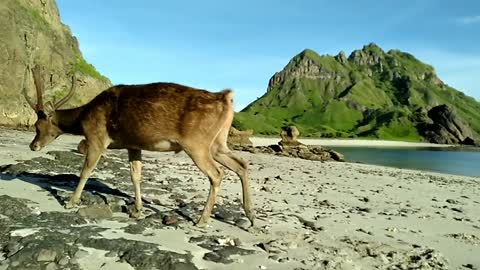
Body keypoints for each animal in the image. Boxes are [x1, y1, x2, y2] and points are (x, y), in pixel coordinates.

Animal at [23, 64, 255, 227]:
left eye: (38, 125)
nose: (33, 146)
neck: (83, 119)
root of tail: (226, 98)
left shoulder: (97, 137)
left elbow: (86, 170)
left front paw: (71, 202)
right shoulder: (133, 144)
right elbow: (136, 175)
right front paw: (137, 210)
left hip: (197, 143)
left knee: (217, 173)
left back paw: (202, 220)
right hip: (218, 143)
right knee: (241, 164)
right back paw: (250, 215)